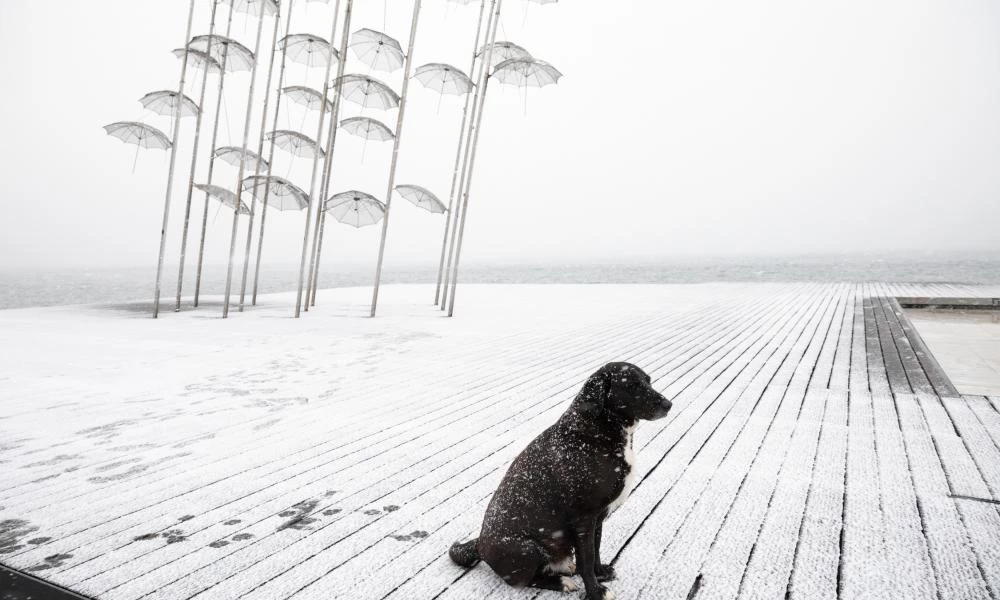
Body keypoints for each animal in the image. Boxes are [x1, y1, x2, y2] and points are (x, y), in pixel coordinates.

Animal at [452, 360, 672, 600]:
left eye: (649, 381)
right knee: (528, 580)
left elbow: (595, 550)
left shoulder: (598, 518)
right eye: (631, 386)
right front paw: (596, 591)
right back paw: (561, 581)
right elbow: (586, 560)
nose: (668, 404)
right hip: (528, 549)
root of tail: (479, 546)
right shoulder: (584, 519)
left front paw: (601, 573)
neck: (598, 430)